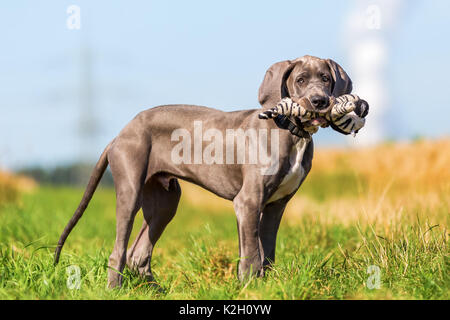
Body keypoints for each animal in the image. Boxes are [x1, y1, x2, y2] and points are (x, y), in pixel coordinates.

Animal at [54, 55, 354, 288]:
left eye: (325, 78)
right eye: (300, 80)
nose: (319, 101)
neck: (290, 132)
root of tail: (120, 133)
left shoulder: (275, 205)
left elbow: (267, 252)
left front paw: (266, 287)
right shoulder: (248, 201)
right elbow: (252, 254)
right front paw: (250, 288)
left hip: (165, 201)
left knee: (137, 253)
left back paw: (156, 290)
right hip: (130, 191)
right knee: (118, 251)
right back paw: (115, 289)